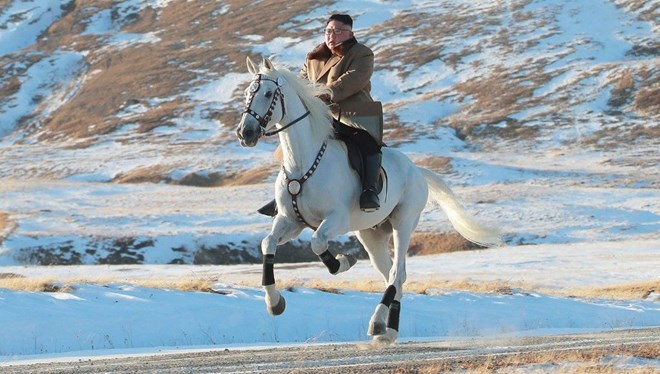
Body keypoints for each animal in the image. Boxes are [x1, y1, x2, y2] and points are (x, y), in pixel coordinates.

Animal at [235, 56, 498, 344]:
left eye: (268, 93)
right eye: (247, 93)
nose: (245, 133)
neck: (303, 162)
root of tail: (417, 170)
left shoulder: (336, 219)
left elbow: (317, 243)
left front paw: (342, 262)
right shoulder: (290, 221)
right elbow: (267, 243)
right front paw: (274, 302)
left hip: (403, 223)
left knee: (396, 273)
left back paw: (377, 323)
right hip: (371, 235)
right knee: (394, 277)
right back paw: (388, 330)